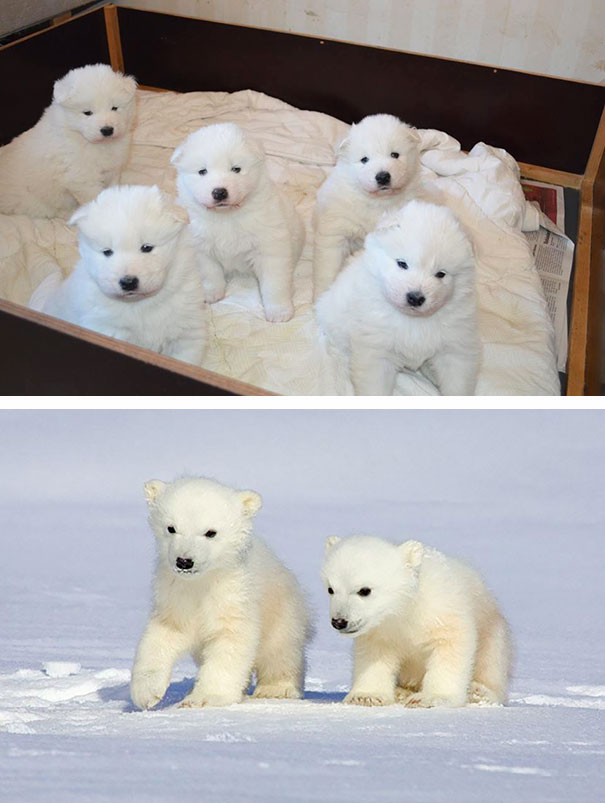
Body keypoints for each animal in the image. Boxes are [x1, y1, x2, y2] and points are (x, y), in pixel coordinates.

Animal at [130, 477, 311, 709]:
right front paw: (146, 693)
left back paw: (277, 689)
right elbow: (161, 636)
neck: (201, 583)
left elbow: (229, 643)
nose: (184, 561)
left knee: (280, 651)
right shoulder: (174, 596)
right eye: (171, 528)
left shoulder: (234, 597)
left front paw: (203, 698)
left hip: (282, 611)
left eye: (210, 532)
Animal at [321, 535, 512, 707]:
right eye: (331, 589)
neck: (405, 609)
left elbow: (450, 646)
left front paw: (431, 698)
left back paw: (477, 692)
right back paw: (401, 692)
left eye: (364, 590)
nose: (339, 621)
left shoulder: (441, 610)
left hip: (493, 633)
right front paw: (366, 697)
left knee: (491, 664)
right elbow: (374, 654)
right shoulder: (380, 630)